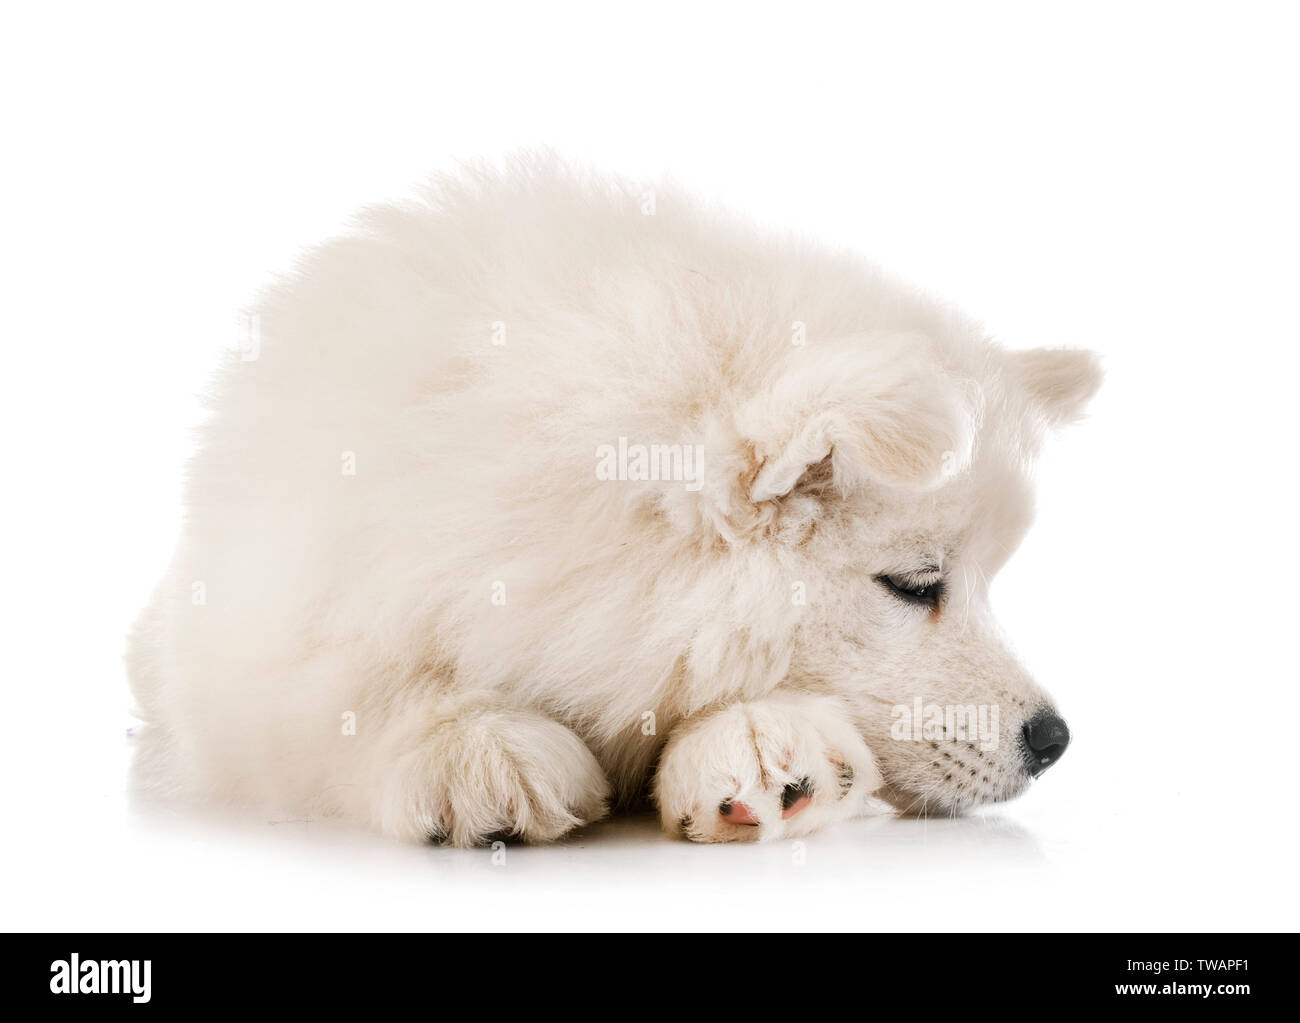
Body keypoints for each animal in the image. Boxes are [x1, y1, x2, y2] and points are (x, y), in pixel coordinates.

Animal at [126, 155, 1102, 847]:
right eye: (914, 583)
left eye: (988, 581)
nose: (1054, 739)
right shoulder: (246, 637)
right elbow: (356, 681)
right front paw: (475, 749)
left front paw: (761, 745)